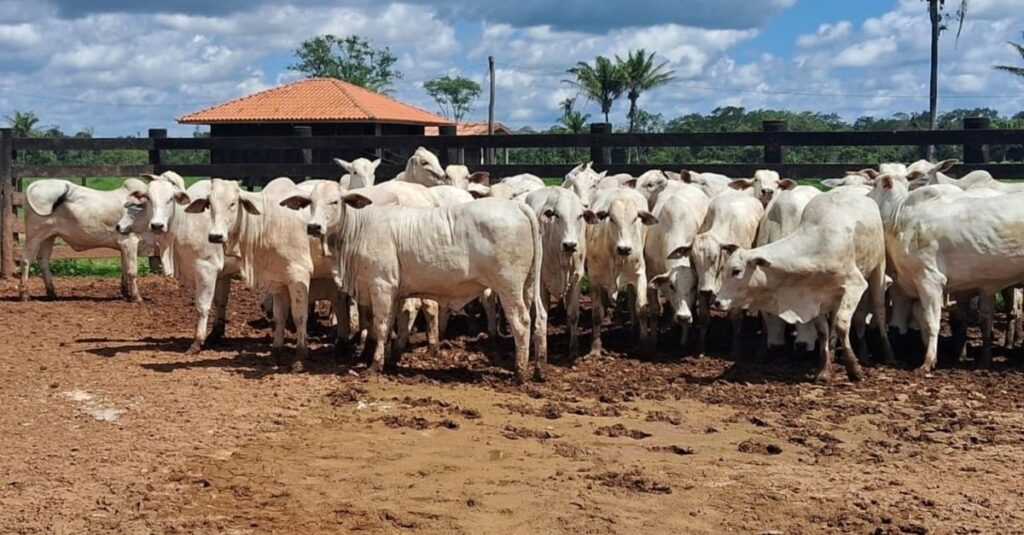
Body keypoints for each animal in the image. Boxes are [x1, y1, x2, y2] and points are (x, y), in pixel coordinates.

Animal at [20, 175, 148, 299]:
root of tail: (36, 184)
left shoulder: (123, 246)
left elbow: (125, 270)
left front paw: (126, 294)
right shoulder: (129, 241)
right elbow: (132, 271)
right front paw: (136, 297)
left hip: (49, 236)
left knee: (43, 259)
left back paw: (52, 293)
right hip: (34, 235)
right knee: (26, 259)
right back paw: (24, 294)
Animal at [524, 185, 589, 356]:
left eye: (580, 216)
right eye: (557, 215)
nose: (570, 245)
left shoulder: (577, 279)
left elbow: (573, 314)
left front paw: (573, 348)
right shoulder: (540, 282)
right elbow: (541, 314)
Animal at [585, 187, 655, 354]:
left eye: (635, 219)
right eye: (612, 219)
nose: (624, 248)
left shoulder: (639, 274)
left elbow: (641, 307)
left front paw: (644, 343)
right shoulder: (594, 279)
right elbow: (596, 314)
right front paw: (595, 347)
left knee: (631, 298)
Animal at [716, 193, 892, 381]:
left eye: (736, 271)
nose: (717, 302)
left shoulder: (855, 285)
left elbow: (841, 325)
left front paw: (854, 369)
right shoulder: (815, 298)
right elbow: (822, 331)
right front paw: (824, 369)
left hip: (878, 270)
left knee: (880, 312)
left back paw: (888, 354)